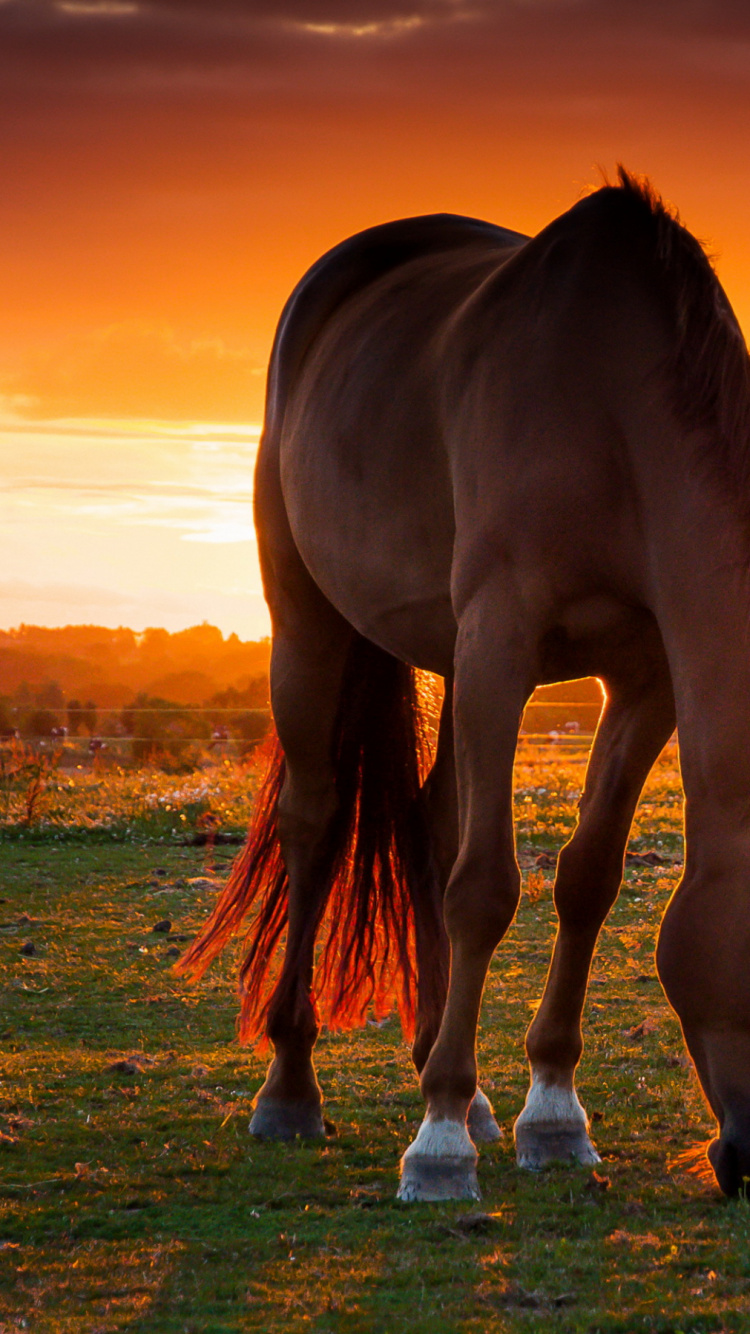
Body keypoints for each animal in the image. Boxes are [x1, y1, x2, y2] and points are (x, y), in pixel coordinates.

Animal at [177, 168, 750, 1201]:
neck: (613, 414)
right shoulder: (499, 647)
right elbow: (483, 886)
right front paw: (438, 1143)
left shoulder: (645, 679)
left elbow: (586, 877)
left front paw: (550, 1113)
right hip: (311, 624)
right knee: (317, 825)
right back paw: (294, 1090)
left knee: (435, 820)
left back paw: (466, 1089)